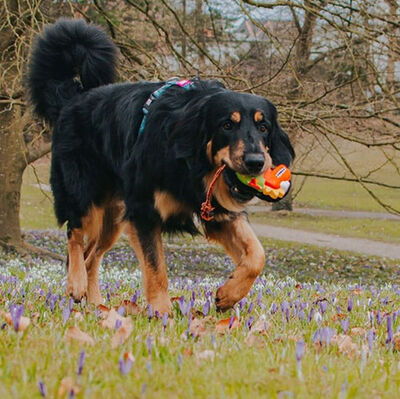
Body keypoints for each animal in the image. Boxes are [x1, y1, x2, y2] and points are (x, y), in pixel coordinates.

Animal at [26, 18, 292, 314]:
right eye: (226, 125)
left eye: (263, 127)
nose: (256, 162)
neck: (191, 166)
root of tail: (72, 99)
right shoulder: (144, 212)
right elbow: (156, 270)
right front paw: (163, 314)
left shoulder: (215, 212)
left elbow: (257, 255)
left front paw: (229, 293)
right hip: (85, 196)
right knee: (75, 235)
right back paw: (76, 284)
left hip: (112, 218)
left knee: (91, 257)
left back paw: (96, 306)